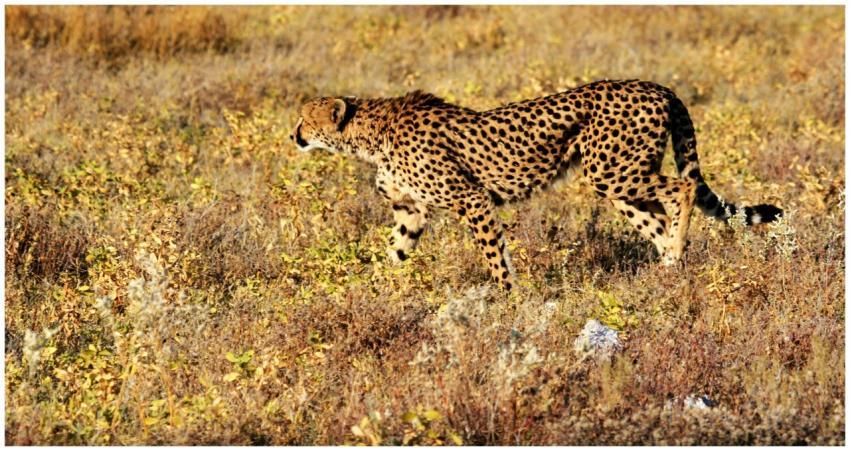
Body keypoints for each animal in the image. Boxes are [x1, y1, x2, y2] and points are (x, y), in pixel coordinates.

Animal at [290, 79, 783, 290]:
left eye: (304, 119)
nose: (293, 136)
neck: (370, 135)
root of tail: (656, 85)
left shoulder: (472, 198)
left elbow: (494, 258)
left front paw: (509, 300)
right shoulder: (410, 210)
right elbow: (394, 252)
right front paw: (368, 292)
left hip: (612, 169)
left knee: (681, 190)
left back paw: (677, 254)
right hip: (614, 181)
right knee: (658, 218)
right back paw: (667, 269)